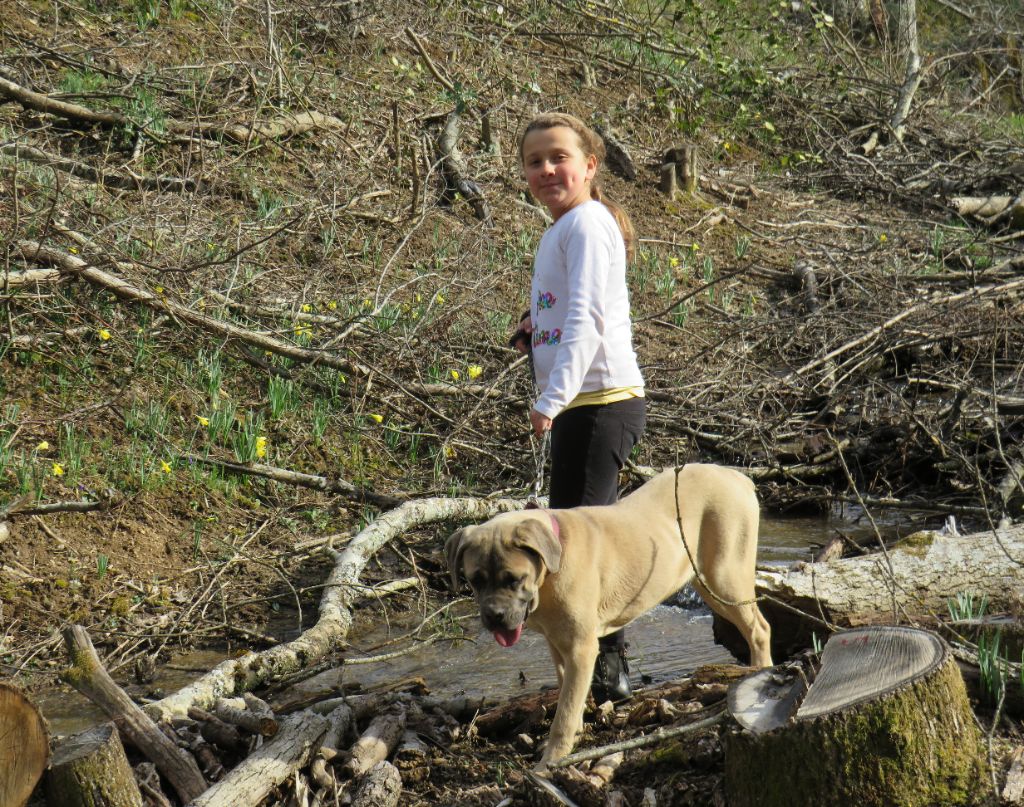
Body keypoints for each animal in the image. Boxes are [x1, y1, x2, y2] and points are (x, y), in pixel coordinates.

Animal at [444, 462, 770, 766]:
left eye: (513, 579)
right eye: (476, 580)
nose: (495, 616)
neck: (552, 566)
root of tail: (737, 476)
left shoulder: (581, 648)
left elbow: (564, 712)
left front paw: (551, 761)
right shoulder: (558, 643)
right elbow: (568, 691)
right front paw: (576, 730)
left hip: (724, 577)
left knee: (759, 629)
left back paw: (760, 673)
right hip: (705, 579)